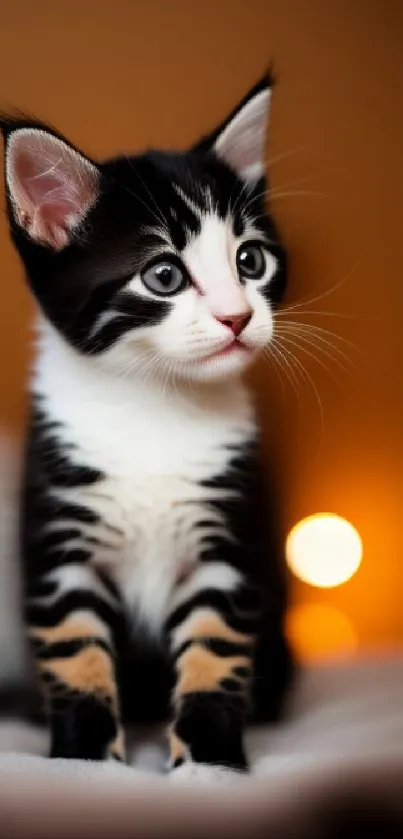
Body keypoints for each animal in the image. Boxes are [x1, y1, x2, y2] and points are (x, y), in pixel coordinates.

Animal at [0, 74, 292, 776]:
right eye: (164, 275)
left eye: (251, 261)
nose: (239, 317)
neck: (155, 406)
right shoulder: (61, 539)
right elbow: (74, 651)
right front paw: (84, 763)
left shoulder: (226, 543)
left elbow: (217, 650)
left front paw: (211, 766)